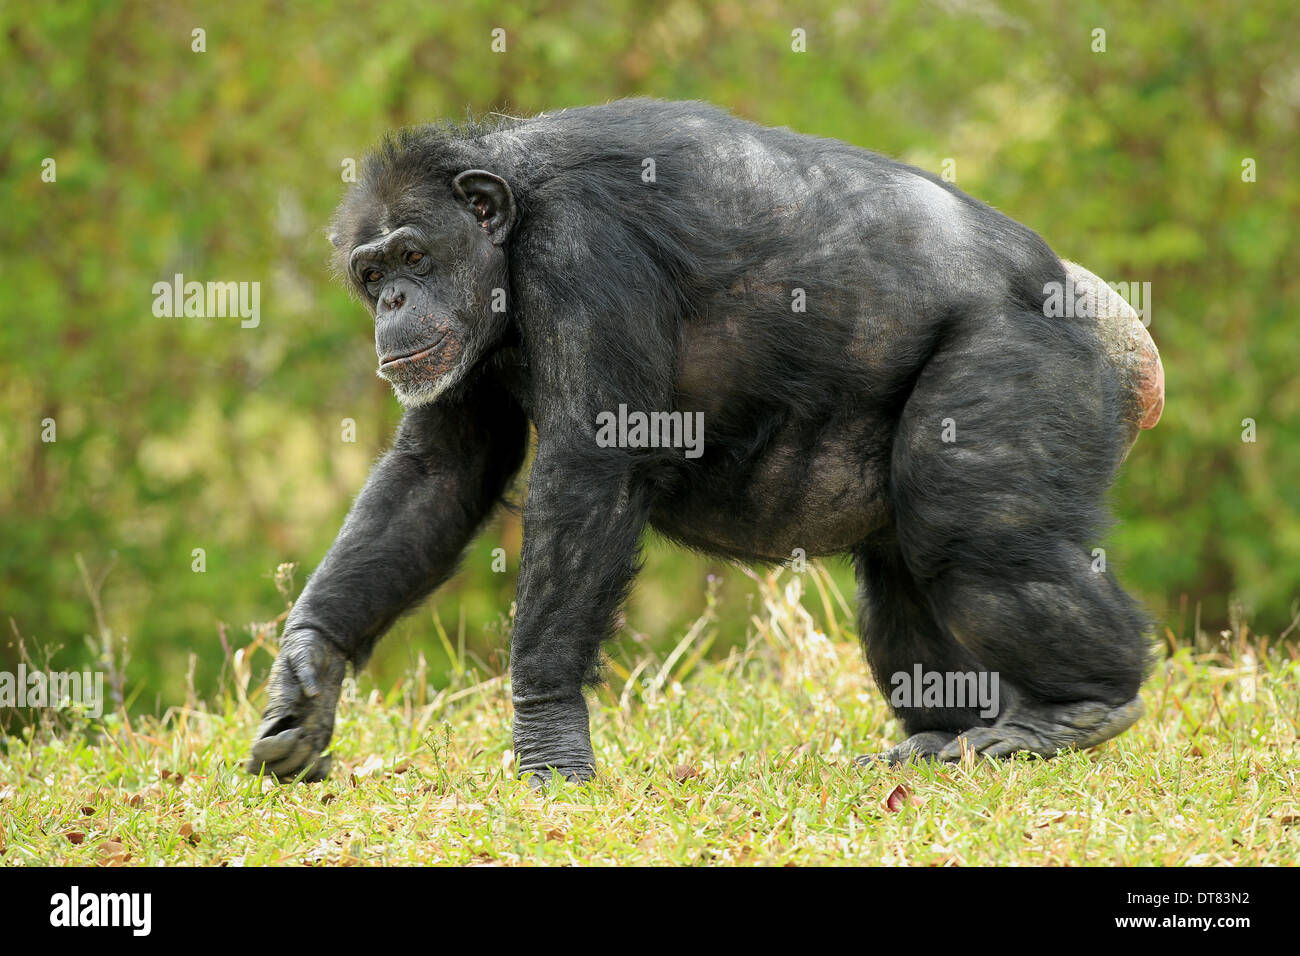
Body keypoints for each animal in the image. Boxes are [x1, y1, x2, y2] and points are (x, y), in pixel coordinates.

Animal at [248, 97, 1164, 785]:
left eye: (413, 254)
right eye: (371, 273)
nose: (394, 301)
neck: (512, 223)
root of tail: (1108, 319)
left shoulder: (584, 251)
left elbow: (591, 469)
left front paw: (546, 737)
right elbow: (440, 471)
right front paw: (307, 670)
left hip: (1024, 361)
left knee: (973, 534)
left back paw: (1078, 705)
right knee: (905, 569)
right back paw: (945, 735)